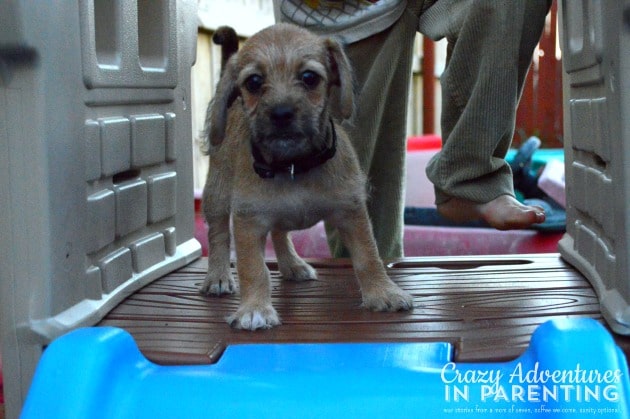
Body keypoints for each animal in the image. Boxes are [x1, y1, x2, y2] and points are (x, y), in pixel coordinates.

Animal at [199, 23, 414, 332]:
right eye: (253, 82)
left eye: (309, 78)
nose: (281, 113)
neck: (293, 166)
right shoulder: (248, 222)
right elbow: (253, 268)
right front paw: (254, 308)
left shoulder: (352, 213)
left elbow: (368, 256)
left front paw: (383, 292)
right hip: (216, 195)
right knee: (217, 235)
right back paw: (217, 276)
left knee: (279, 233)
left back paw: (292, 264)